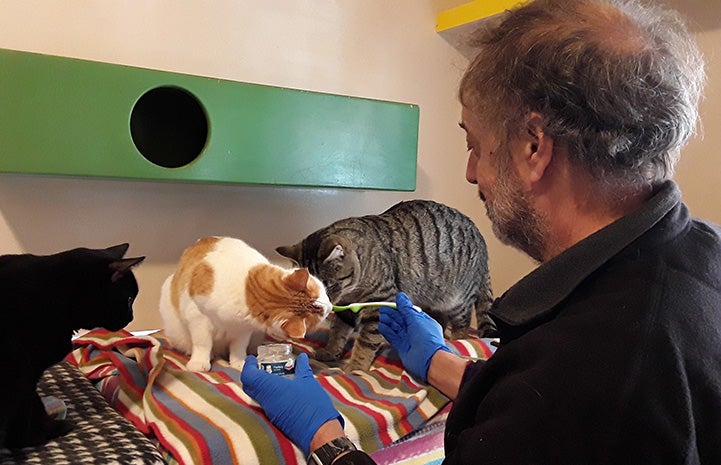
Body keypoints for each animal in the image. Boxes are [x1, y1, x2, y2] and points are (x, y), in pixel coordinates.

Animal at [158, 236, 332, 370]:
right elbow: (203, 344)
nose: (331, 307)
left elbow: (238, 348)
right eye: (322, 313)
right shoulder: (199, 319)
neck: (247, 289)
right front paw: (200, 362)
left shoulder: (243, 330)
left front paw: (239, 363)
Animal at [276, 198, 496, 372]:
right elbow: (338, 332)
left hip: (458, 301)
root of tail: (482, 240)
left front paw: (356, 366)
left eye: (328, 286)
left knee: (463, 323)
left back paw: (456, 340)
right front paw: (331, 351)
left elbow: (366, 342)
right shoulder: (346, 309)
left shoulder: (378, 303)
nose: (321, 305)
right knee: (440, 319)